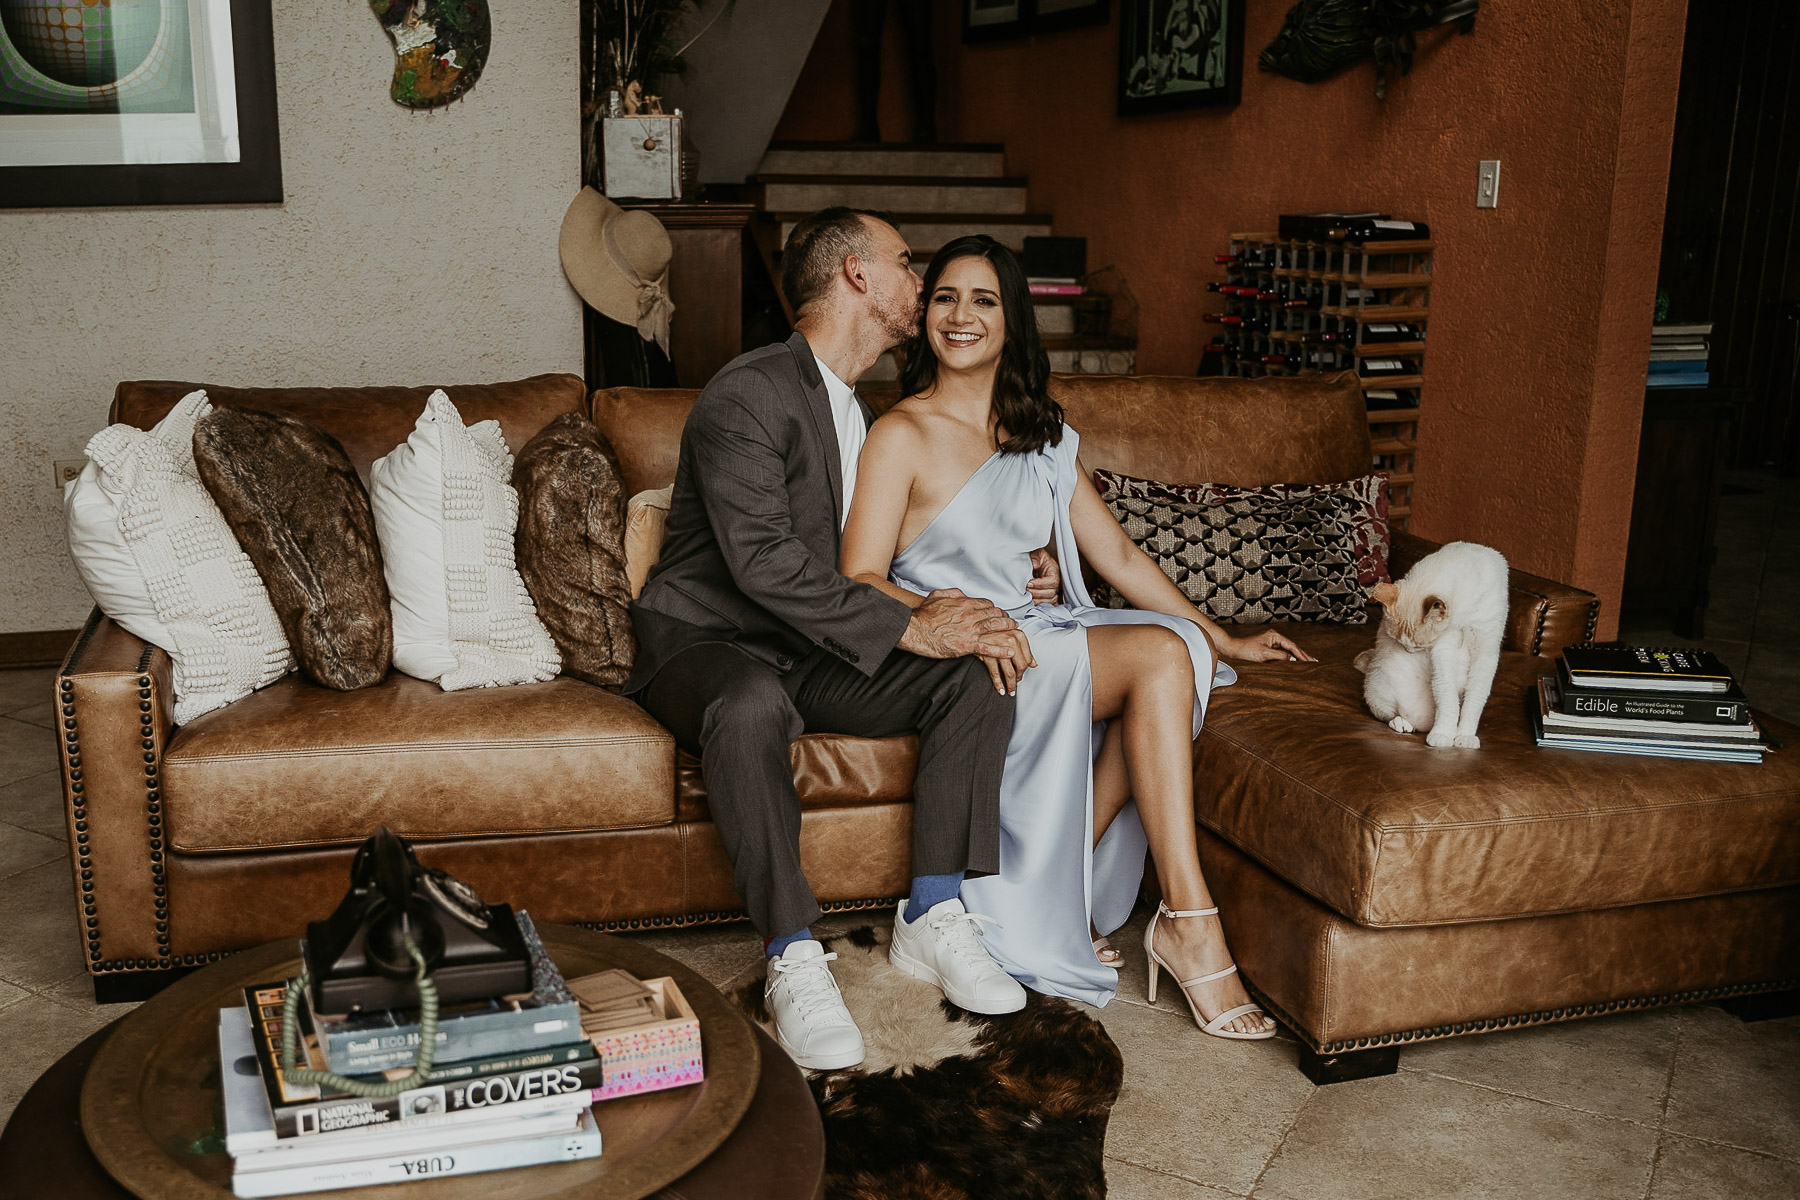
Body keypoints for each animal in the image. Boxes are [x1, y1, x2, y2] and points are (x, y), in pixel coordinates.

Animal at [1353, 543, 1512, 752]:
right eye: (1402, 644)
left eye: (1418, 646)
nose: (1409, 652)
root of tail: (1423, 724)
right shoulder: (1443, 650)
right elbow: (1448, 699)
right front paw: (1443, 735)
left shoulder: (1486, 651)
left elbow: (1474, 702)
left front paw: (1465, 737)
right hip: (1378, 685)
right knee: (1389, 716)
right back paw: (1403, 724)